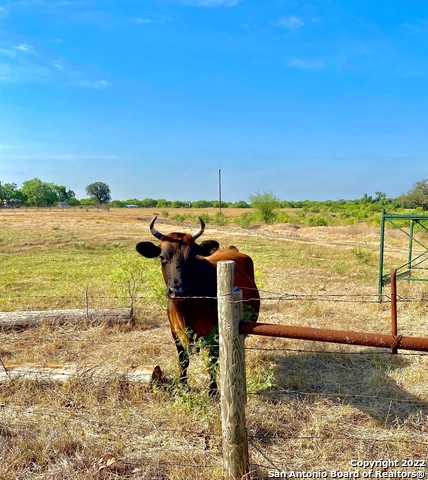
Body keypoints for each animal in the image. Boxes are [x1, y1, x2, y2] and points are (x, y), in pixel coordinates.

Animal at [135, 217, 260, 394]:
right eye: (162, 257)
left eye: (192, 256)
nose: (178, 290)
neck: (187, 311)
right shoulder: (175, 333)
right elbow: (183, 361)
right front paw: (183, 386)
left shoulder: (215, 333)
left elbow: (212, 362)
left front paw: (213, 390)